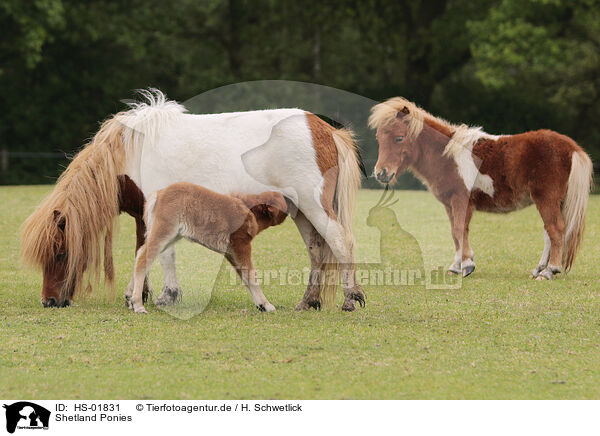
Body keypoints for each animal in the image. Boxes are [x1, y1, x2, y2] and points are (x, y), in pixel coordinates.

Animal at [130, 183, 290, 314]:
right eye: (281, 201)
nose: (290, 199)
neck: (249, 209)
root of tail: (158, 194)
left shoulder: (231, 252)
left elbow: (244, 276)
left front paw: (260, 305)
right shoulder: (241, 245)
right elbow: (251, 275)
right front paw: (267, 305)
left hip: (170, 237)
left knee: (141, 254)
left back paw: (131, 300)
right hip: (163, 232)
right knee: (143, 259)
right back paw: (138, 305)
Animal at [368, 96, 592, 280]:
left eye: (399, 138)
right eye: (378, 138)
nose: (381, 173)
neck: (447, 155)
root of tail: (571, 148)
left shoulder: (460, 200)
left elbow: (460, 229)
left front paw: (467, 265)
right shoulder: (450, 204)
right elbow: (455, 232)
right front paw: (456, 266)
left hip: (546, 199)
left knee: (556, 229)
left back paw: (549, 271)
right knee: (550, 233)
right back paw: (540, 269)